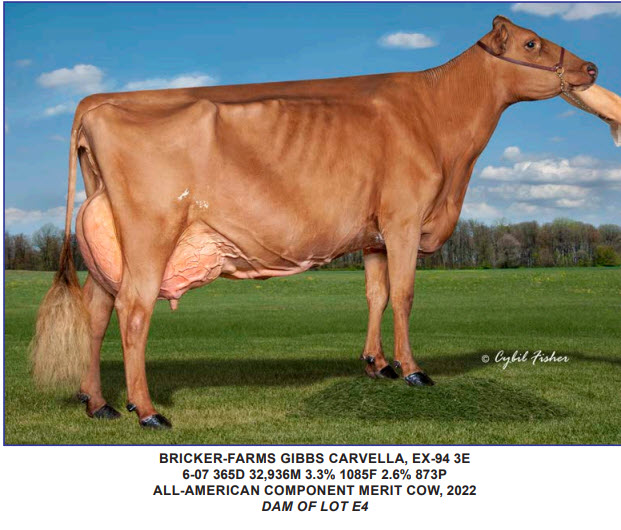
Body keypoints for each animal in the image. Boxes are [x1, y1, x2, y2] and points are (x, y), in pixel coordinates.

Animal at [30, 16, 602, 429]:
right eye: (531, 42)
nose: (592, 68)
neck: (439, 125)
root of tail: (96, 100)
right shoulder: (404, 218)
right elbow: (405, 294)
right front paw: (413, 371)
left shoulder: (374, 233)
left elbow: (377, 294)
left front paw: (378, 365)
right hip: (151, 231)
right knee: (133, 311)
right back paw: (146, 411)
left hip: (107, 242)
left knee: (97, 312)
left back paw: (98, 403)